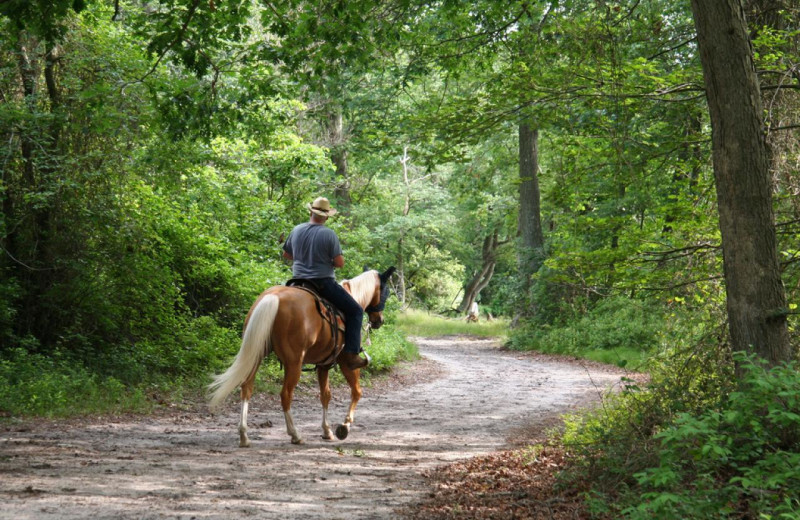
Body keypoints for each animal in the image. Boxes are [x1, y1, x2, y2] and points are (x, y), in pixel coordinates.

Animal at [206, 266, 394, 444]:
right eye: (386, 292)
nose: (379, 320)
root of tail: (273, 297)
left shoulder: (323, 365)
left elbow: (325, 395)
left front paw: (327, 431)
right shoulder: (346, 362)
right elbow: (356, 392)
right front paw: (344, 425)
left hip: (256, 355)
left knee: (246, 388)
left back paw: (244, 435)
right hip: (294, 363)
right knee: (285, 395)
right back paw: (295, 434)